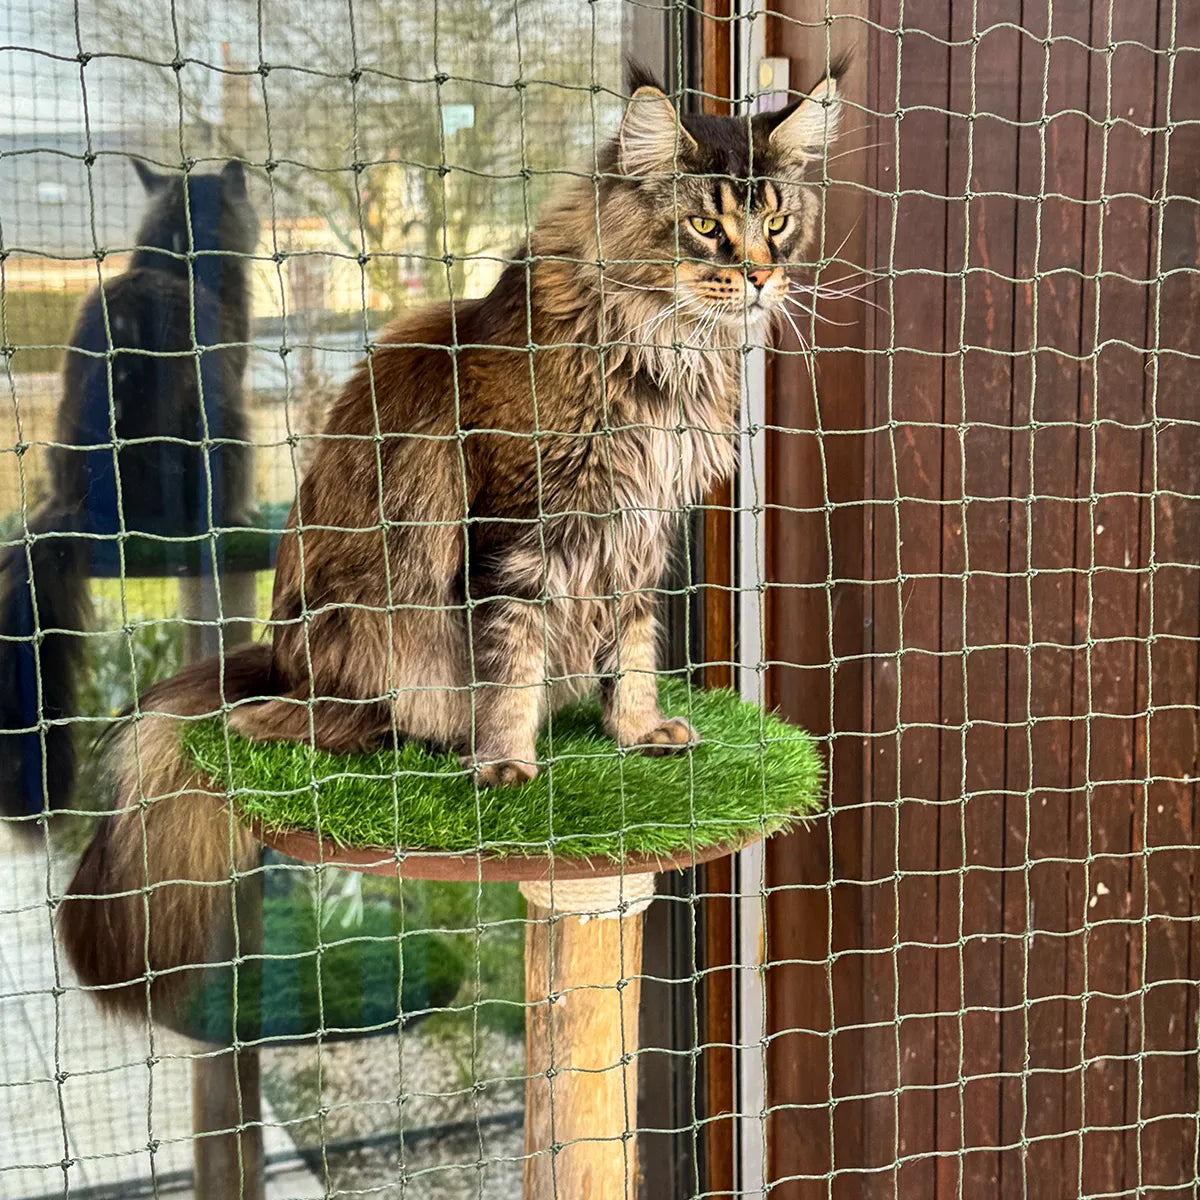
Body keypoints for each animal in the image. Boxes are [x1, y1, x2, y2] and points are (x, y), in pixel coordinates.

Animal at [56, 65, 844, 1017]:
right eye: (704, 226)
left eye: (777, 222)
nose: (761, 275)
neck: (664, 354)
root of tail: (277, 665)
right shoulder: (520, 537)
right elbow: (512, 668)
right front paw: (506, 767)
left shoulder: (639, 537)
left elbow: (632, 651)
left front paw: (636, 731)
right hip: (366, 631)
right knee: (312, 724)